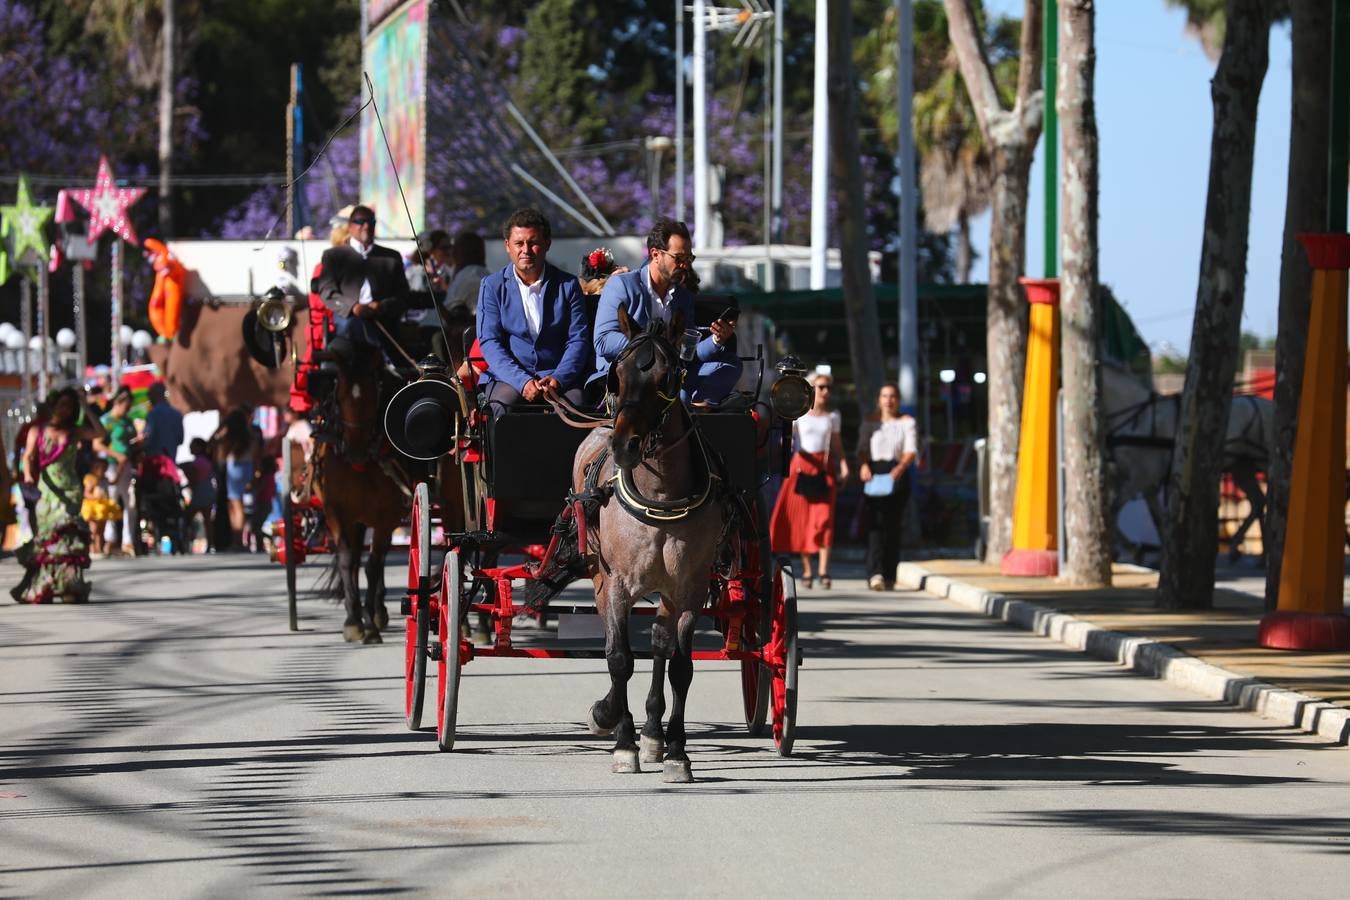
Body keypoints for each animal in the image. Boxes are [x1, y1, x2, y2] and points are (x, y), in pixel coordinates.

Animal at [311, 342, 407, 639]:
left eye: (372, 393)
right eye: (339, 395)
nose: (354, 451)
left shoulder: (386, 515)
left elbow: (373, 564)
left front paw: (370, 618)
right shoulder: (336, 511)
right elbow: (346, 559)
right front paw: (353, 620)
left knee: (376, 559)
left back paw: (376, 612)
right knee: (353, 559)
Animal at [575, 310, 734, 782]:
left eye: (669, 377)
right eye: (618, 374)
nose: (624, 445)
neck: (660, 494)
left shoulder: (690, 588)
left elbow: (680, 664)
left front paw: (677, 751)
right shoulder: (618, 585)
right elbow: (619, 658)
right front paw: (620, 738)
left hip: (667, 590)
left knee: (661, 643)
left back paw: (653, 734)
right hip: (600, 577)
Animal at [1101, 356, 1269, 555]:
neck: (1140, 420)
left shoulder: (1140, 479)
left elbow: (1112, 511)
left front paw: (1126, 547)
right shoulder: (1144, 484)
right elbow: (1157, 520)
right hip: (1242, 468)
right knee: (1258, 501)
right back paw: (1242, 547)